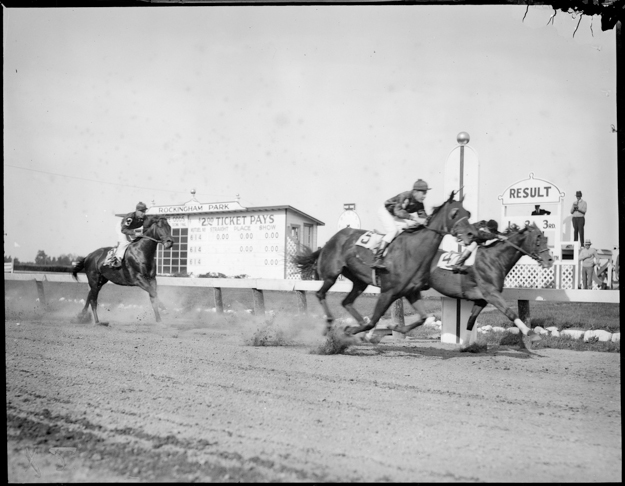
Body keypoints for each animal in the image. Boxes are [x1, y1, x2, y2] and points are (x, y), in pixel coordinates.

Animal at [292, 192, 472, 340]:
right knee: (320, 294)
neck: (413, 251)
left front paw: (393, 327)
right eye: (454, 213)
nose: (471, 234)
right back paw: (330, 323)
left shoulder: (412, 291)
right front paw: (352, 330)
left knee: (346, 302)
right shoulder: (388, 292)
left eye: (467, 213)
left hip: (359, 281)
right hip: (331, 274)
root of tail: (330, 240)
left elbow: (422, 318)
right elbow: (373, 321)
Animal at [392, 222, 552, 344]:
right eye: (538, 239)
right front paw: (531, 333)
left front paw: (465, 344)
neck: (495, 259)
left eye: (545, 238)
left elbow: (470, 321)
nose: (550, 260)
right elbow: (510, 312)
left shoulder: (481, 300)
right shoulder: (491, 294)